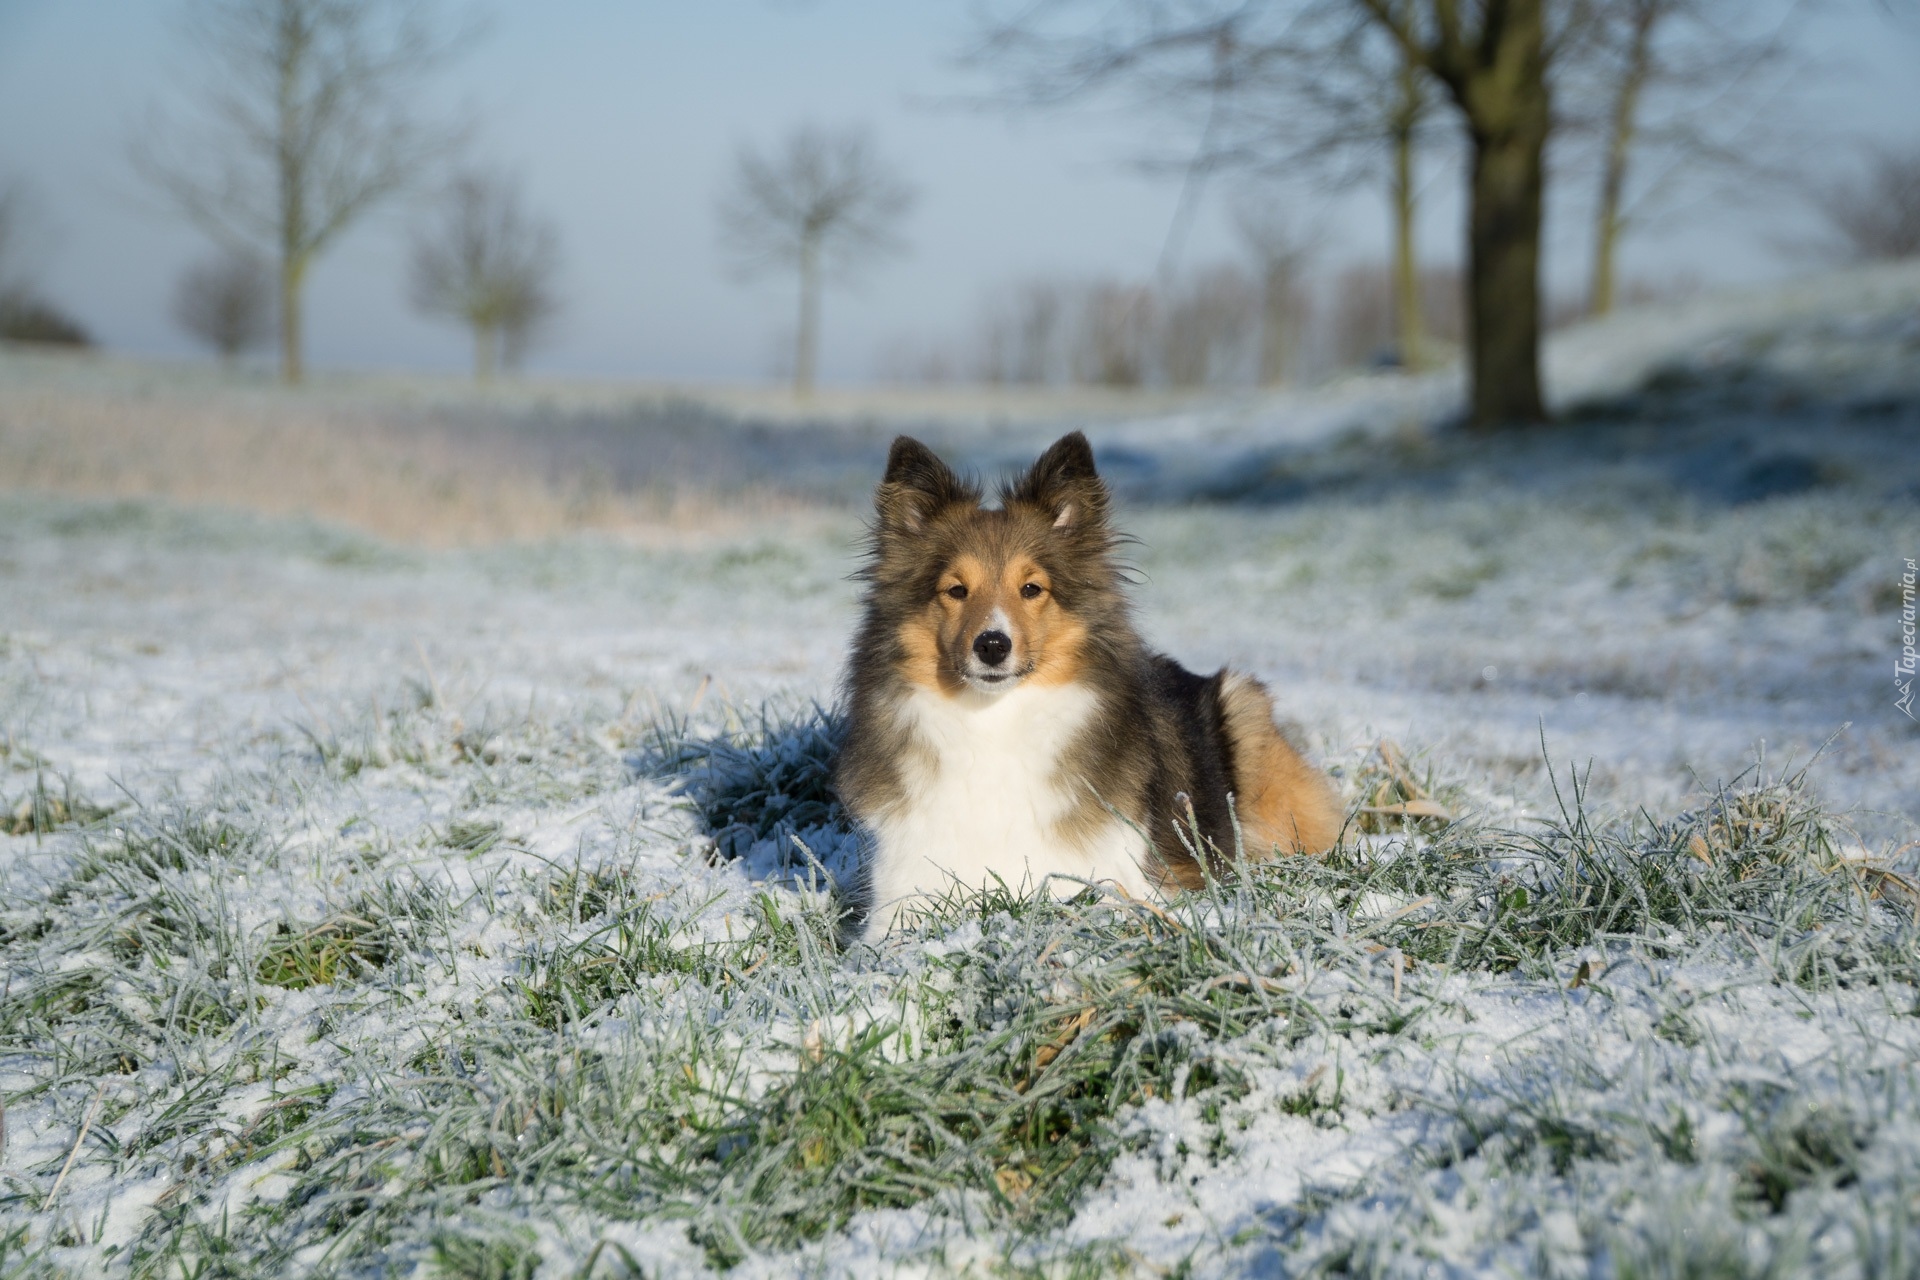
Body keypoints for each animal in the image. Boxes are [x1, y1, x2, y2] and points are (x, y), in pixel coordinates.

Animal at [833, 429, 1344, 940]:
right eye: (956, 590)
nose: (993, 645)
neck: (994, 720)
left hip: (1244, 713)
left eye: (1031, 589)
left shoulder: (1121, 881)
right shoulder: (900, 899)